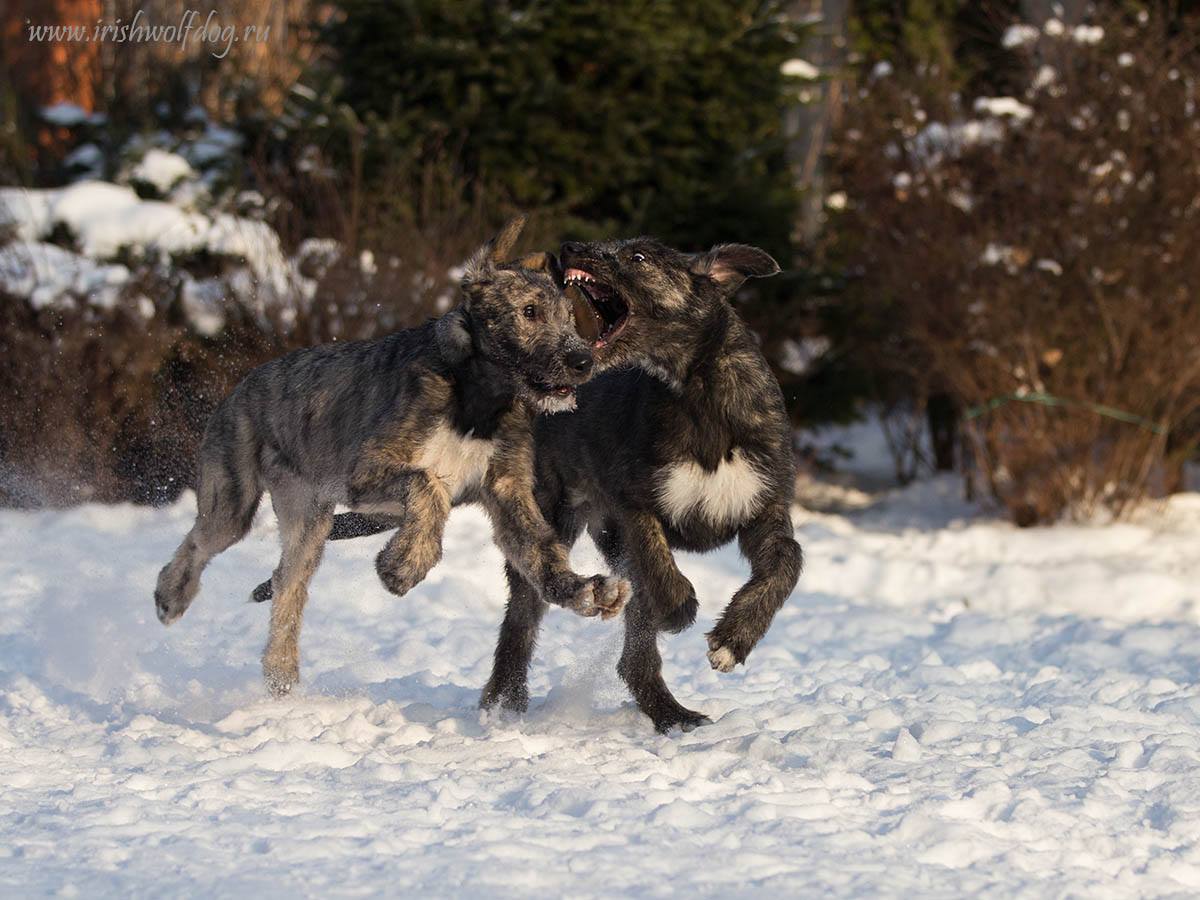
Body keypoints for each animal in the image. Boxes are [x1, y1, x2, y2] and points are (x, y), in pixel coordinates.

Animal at [153, 218, 633, 696]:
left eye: (570, 317)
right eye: (529, 312)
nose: (582, 361)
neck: (476, 400)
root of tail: (243, 384)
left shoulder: (507, 489)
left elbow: (539, 549)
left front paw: (585, 590)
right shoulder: (367, 470)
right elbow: (428, 483)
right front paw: (402, 565)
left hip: (310, 522)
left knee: (288, 584)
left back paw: (281, 675)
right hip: (235, 493)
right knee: (203, 540)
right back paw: (171, 594)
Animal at [296, 234, 806, 734]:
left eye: (638, 256)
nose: (571, 248)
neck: (700, 397)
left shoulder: (765, 508)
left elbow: (786, 565)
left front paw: (733, 639)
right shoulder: (634, 504)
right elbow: (658, 562)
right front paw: (680, 605)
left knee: (631, 652)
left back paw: (671, 715)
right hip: (549, 516)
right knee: (526, 619)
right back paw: (507, 703)